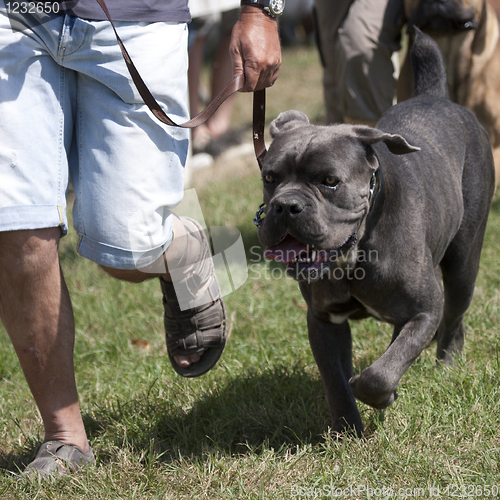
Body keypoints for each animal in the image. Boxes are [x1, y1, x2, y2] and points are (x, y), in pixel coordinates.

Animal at [260, 32, 494, 438]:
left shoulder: (424, 309)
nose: (286, 206)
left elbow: (378, 375)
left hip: (464, 264)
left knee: (453, 317)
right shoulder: (323, 321)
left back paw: (446, 364)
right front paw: (345, 430)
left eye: (330, 181)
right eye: (269, 177)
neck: (357, 250)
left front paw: (383, 395)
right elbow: (337, 381)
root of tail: (437, 96)